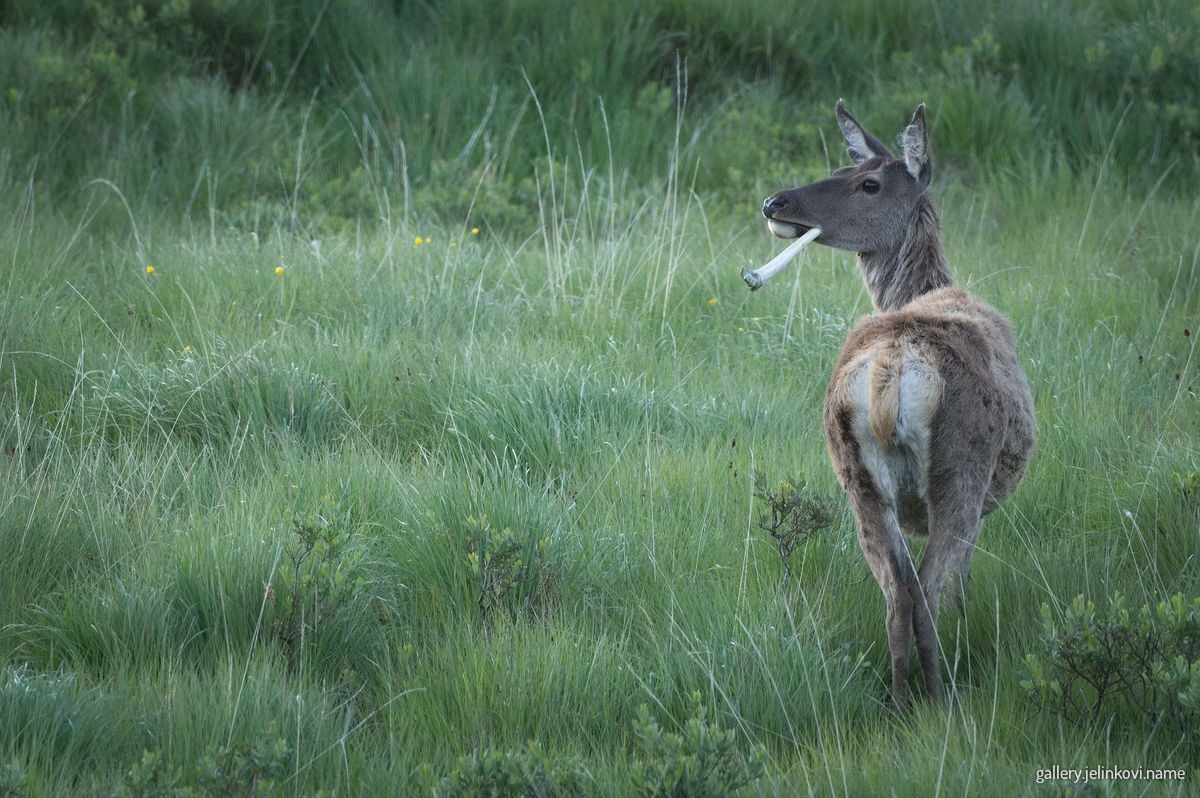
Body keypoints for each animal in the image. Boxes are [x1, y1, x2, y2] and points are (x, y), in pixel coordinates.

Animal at [757, 101, 1035, 709]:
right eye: (843, 169)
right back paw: (939, 700)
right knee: (928, 593)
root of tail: (890, 370)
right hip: (961, 469)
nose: (775, 202)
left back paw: (902, 701)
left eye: (866, 181)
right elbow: (961, 586)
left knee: (896, 596)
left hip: (855, 474)